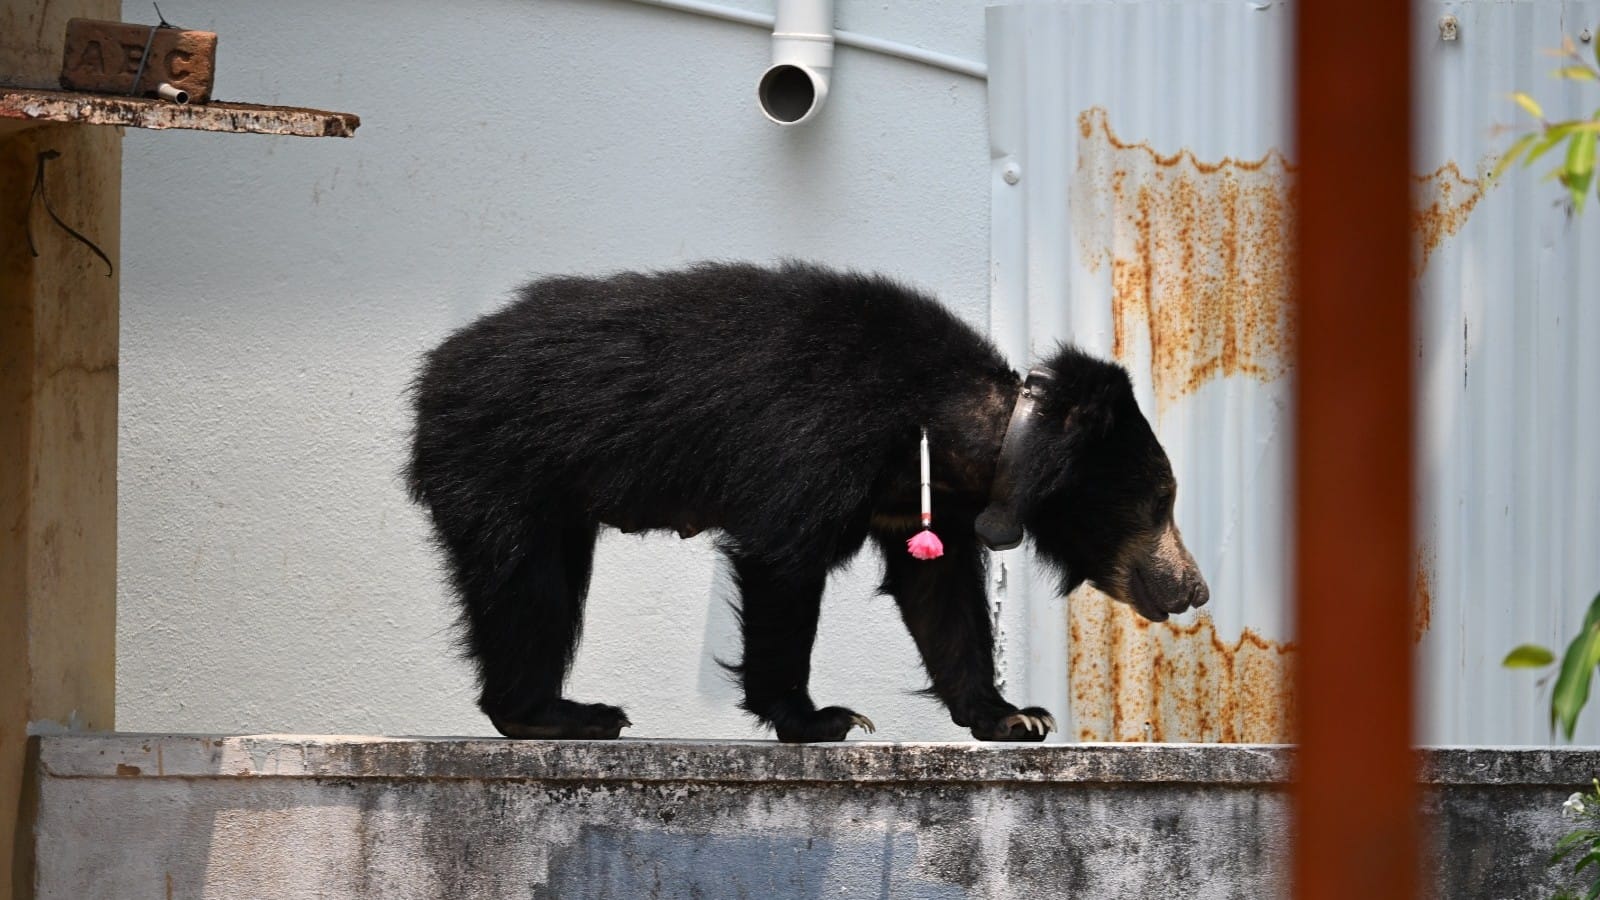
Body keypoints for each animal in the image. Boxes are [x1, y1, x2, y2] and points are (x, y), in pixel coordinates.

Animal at [407, 261, 1208, 743]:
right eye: (1163, 499)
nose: (1195, 589)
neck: (964, 427)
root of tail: (435, 367)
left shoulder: (924, 503)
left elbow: (941, 596)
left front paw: (1016, 719)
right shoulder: (815, 446)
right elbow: (781, 567)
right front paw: (823, 719)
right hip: (500, 463)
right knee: (525, 588)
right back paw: (554, 717)